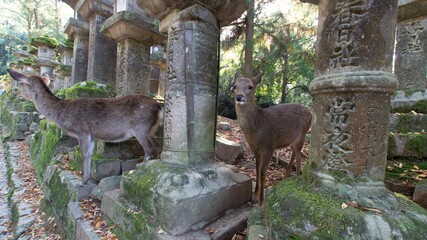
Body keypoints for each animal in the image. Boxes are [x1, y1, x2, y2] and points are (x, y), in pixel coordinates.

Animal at [8, 69, 163, 184]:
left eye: (21, 84)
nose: (18, 94)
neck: (61, 113)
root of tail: (159, 106)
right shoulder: (92, 135)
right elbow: (89, 153)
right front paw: (87, 179)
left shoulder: (82, 131)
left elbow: (84, 153)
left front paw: (83, 181)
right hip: (151, 130)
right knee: (157, 146)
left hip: (141, 128)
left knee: (149, 148)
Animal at [232, 72, 312, 205]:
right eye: (234, 86)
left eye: (250, 86)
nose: (239, 97)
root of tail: (310, 113)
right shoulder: (255, 148)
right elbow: (257, 170)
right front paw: (254, 197)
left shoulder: (270, 145)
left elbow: (263, 172)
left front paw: (261, 202)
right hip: (291, 139)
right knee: (294, 152)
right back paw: (285, 177)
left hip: (303, 134)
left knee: (299, 155)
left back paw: (297, 177)